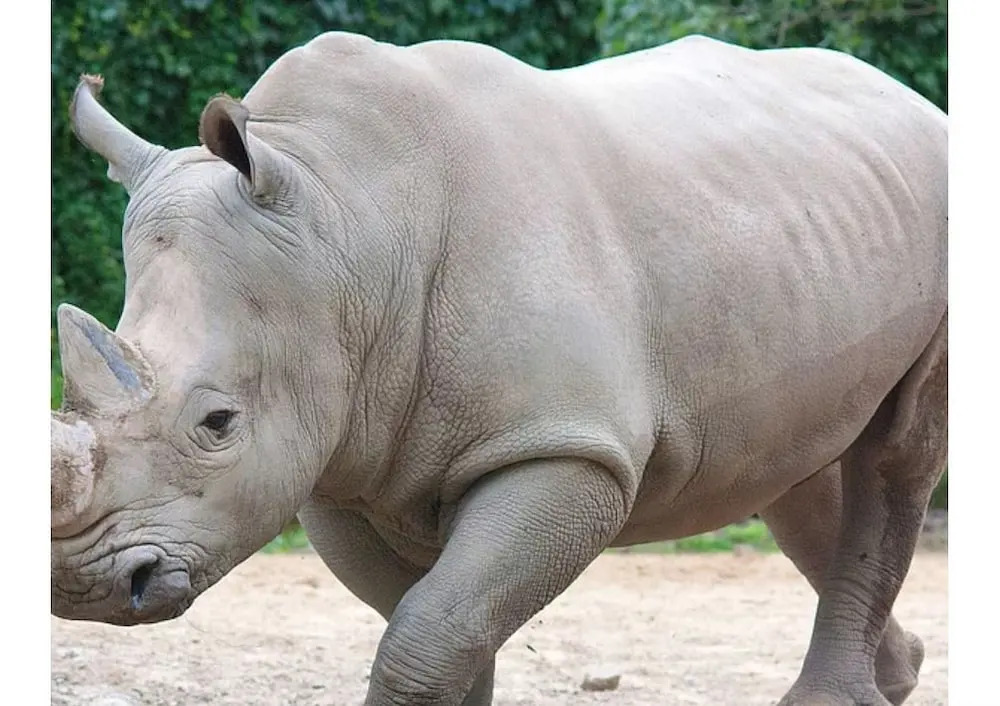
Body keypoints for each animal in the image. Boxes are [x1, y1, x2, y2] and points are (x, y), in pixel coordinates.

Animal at [51, 32, 947, 706]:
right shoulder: (337, 458)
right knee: (793, 473)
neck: (347, 225)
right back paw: (897, 676)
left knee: (895, 459)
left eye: (217, 423)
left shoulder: (564, 447)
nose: (85, 587)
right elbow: (439, 628)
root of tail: (913, 100)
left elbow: (427, 631)